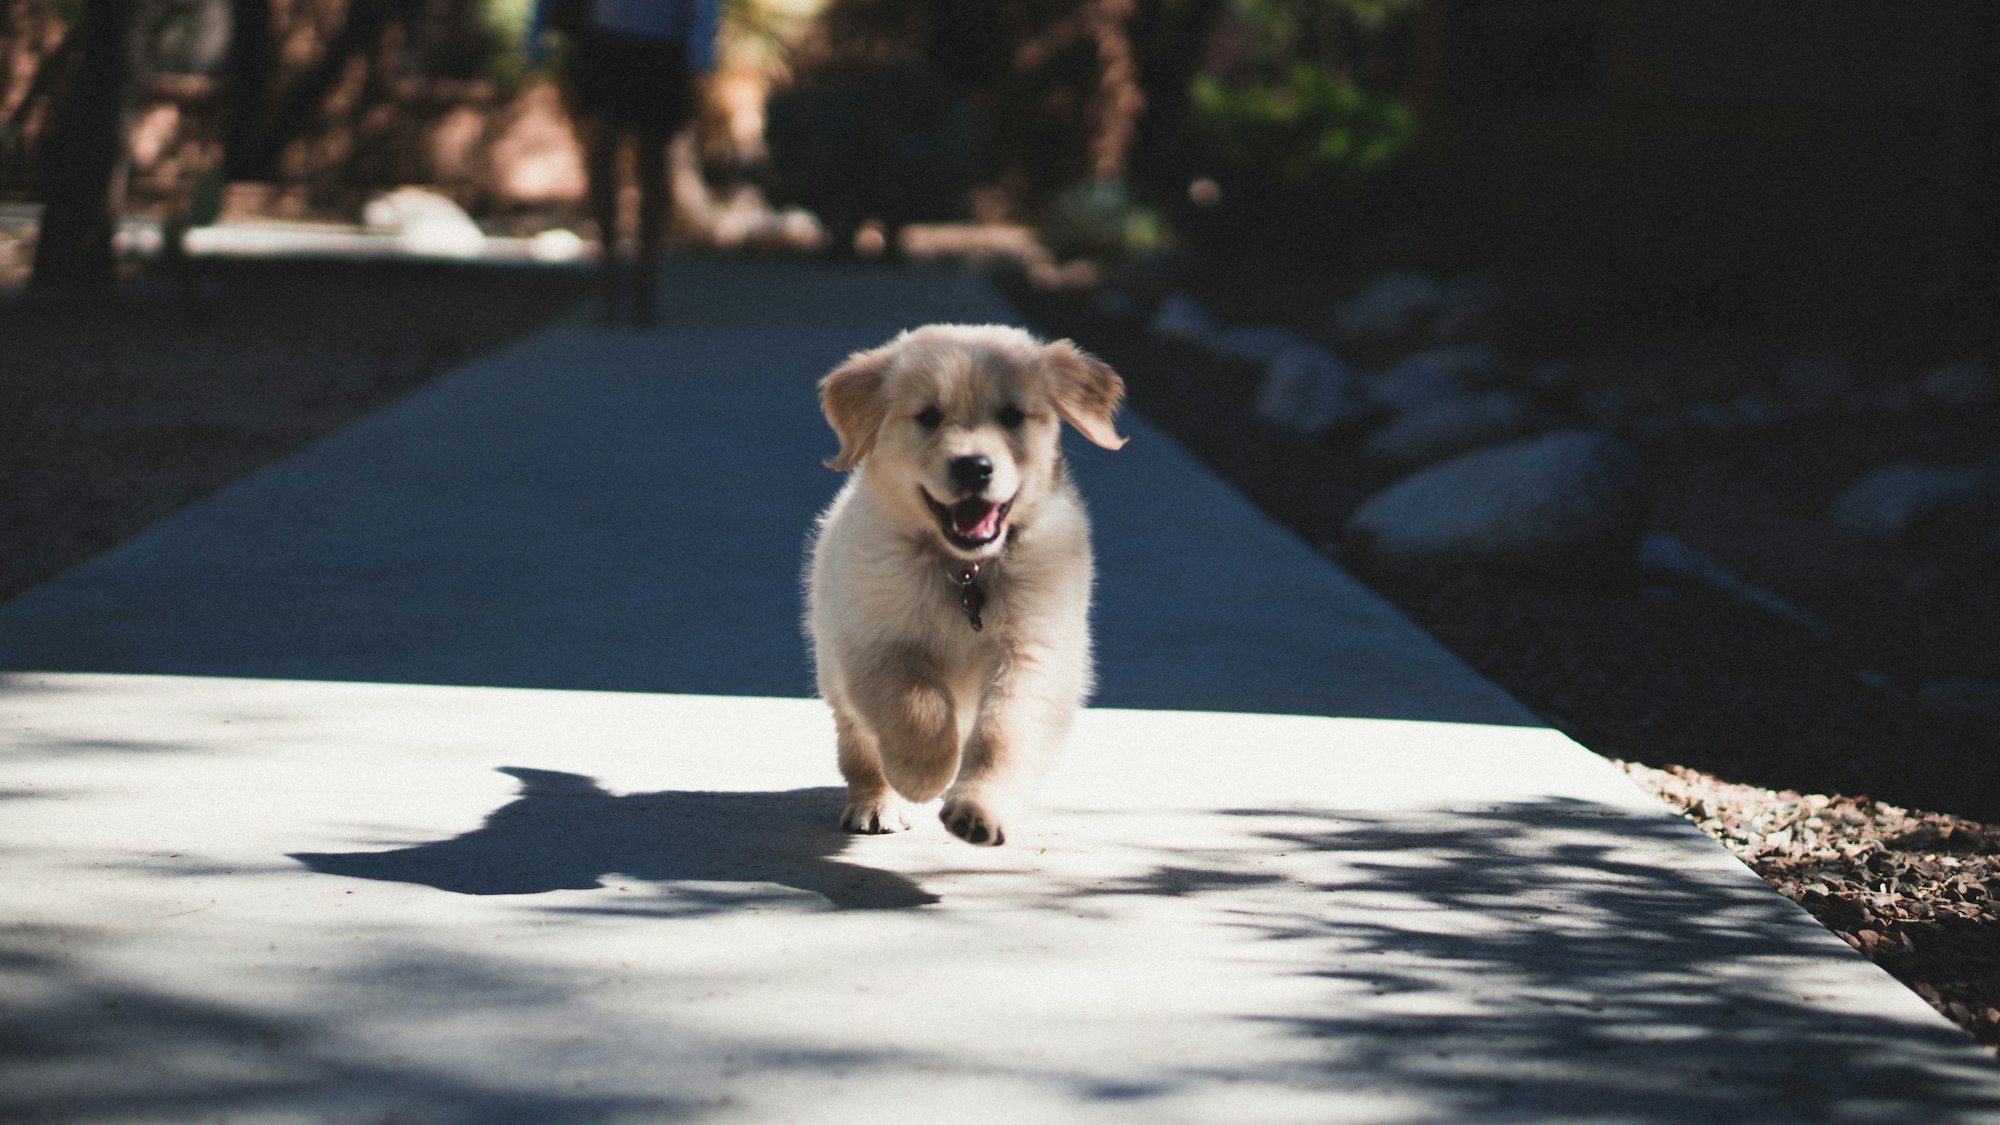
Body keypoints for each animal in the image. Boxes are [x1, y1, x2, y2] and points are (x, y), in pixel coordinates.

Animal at [808, 322, 1128, 840]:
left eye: (1012, 416)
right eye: (929, 417)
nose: (973, 467)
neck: (964, 568)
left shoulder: (1034, 650)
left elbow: (1004, 733)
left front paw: (979, 809)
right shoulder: (873, 641)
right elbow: (916, 705)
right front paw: (923, 774)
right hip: (834, 667)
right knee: (859, 744)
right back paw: (876, 802)